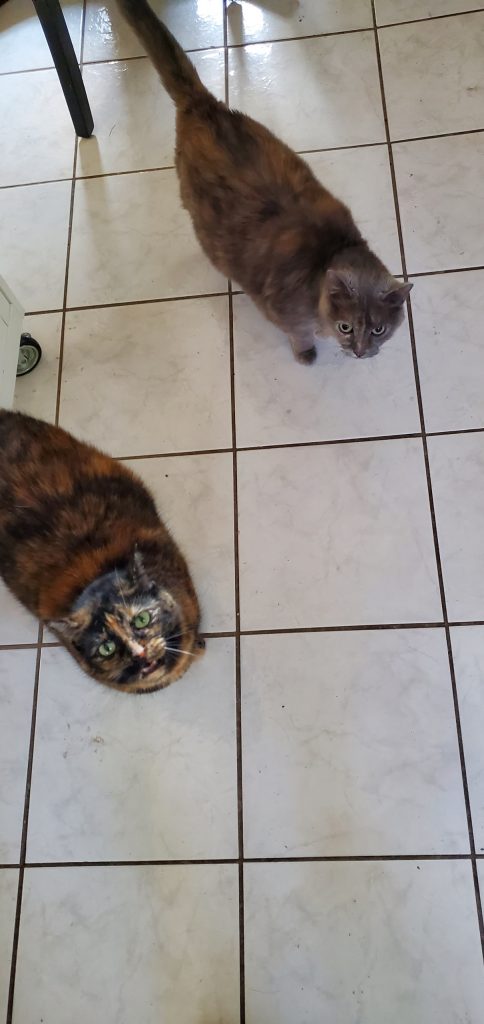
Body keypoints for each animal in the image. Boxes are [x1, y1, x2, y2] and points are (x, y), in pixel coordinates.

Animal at [115, 0, 409, 364]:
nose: (361, 352)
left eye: (379, 329)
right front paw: (307, 353)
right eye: (346, 327)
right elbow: (299, 333)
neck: (330, 253)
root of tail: (204, 105)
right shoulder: (282, 311)